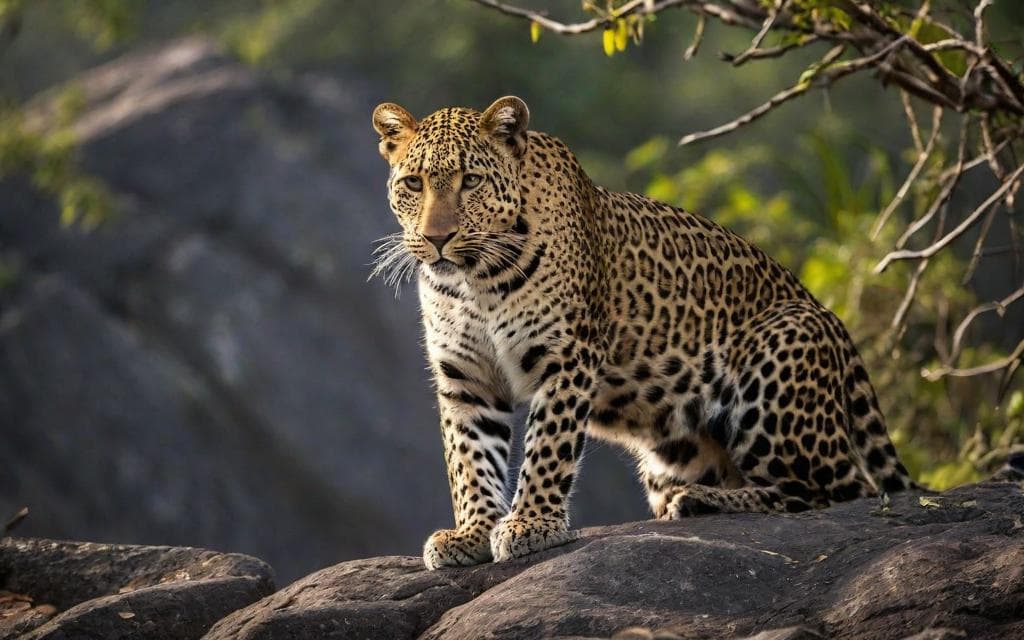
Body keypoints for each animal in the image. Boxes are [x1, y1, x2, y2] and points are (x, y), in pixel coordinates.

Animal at [370, 95, 916, 570]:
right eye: (414, 183)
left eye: (472, 181)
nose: (437, 238)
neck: (475, 281)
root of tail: (836, 324)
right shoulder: (466, 375)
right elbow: (468, 457)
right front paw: (472, 532)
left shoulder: (566, 359)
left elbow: (547, 446)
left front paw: (531, 524)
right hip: (674, 447)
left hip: (777, 360)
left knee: (838, 491)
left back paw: (701, 500)